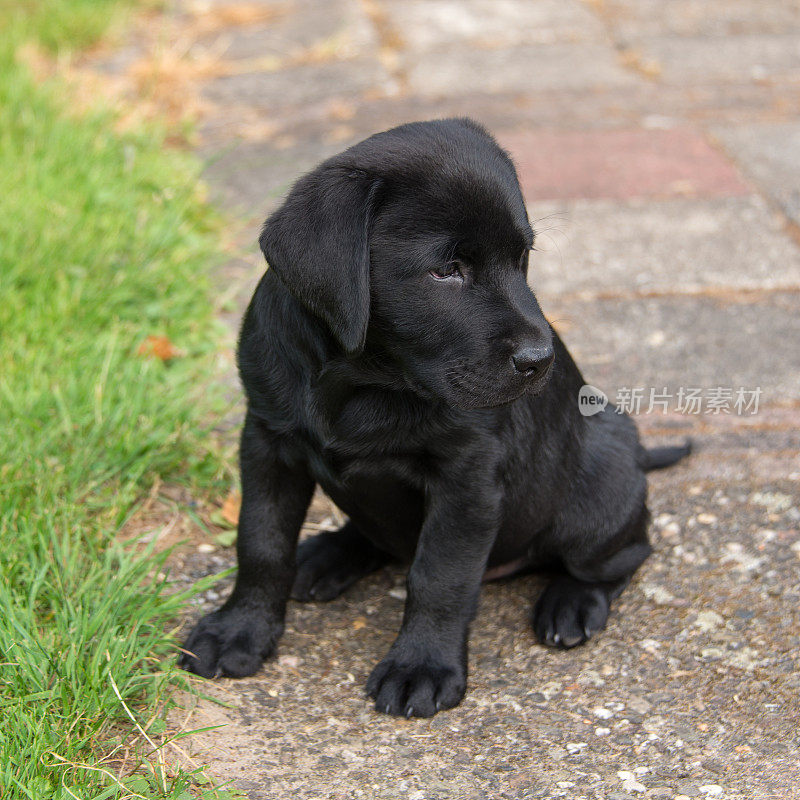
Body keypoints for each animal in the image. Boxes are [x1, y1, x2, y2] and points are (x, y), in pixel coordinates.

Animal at [180, 119, 688, 720]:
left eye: (522, 258)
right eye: (446, 270)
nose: (541, 360)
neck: (362, 382)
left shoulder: (467, 477)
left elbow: (440, 576)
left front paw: (421, 665)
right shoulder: (267, 443)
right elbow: (260, 541)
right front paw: (240, 629)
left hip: (598, 496)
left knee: (624, 554)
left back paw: (571, 603)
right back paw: (327, 553)